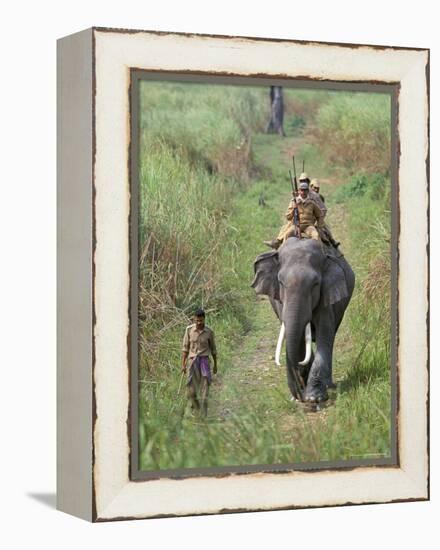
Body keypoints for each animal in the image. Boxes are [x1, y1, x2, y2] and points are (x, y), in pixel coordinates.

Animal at [251, 238, 354, 406]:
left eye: (315, 284)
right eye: (280, 282)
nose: (299, 395)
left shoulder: (326, 297)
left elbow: (325, 335)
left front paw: (314, 398)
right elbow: (297, 340)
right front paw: (301, 393)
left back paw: (328, 385)